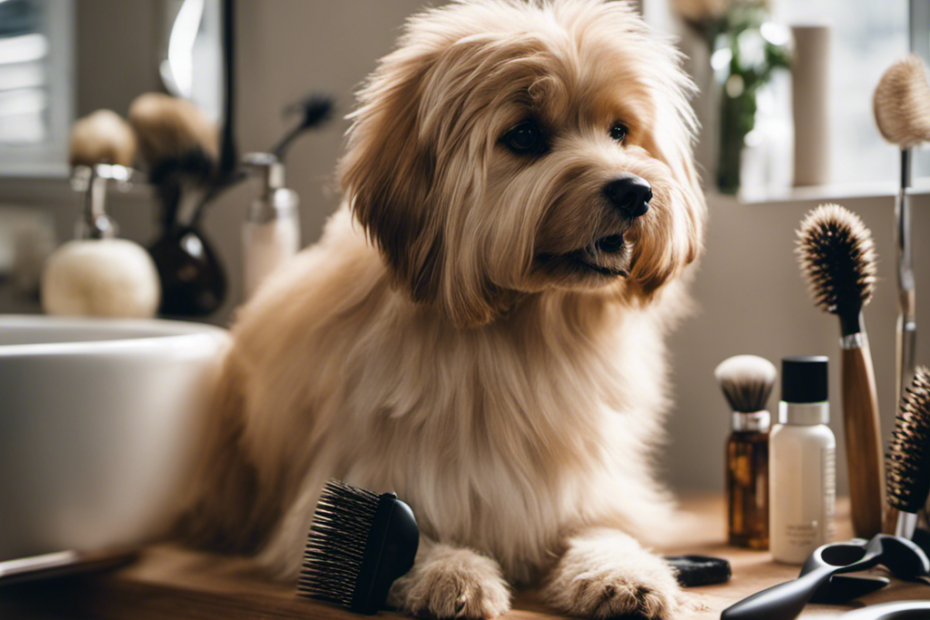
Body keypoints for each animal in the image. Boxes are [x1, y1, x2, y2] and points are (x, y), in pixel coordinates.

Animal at [179, 2, 704, 616]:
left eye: (620, 131)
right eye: (525, 135)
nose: (636, 192)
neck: (523, 332)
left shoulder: (592, 489)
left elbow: (603, 529)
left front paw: (623, 572)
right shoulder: (339, 497)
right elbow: (405, 535)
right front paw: (451, 574)